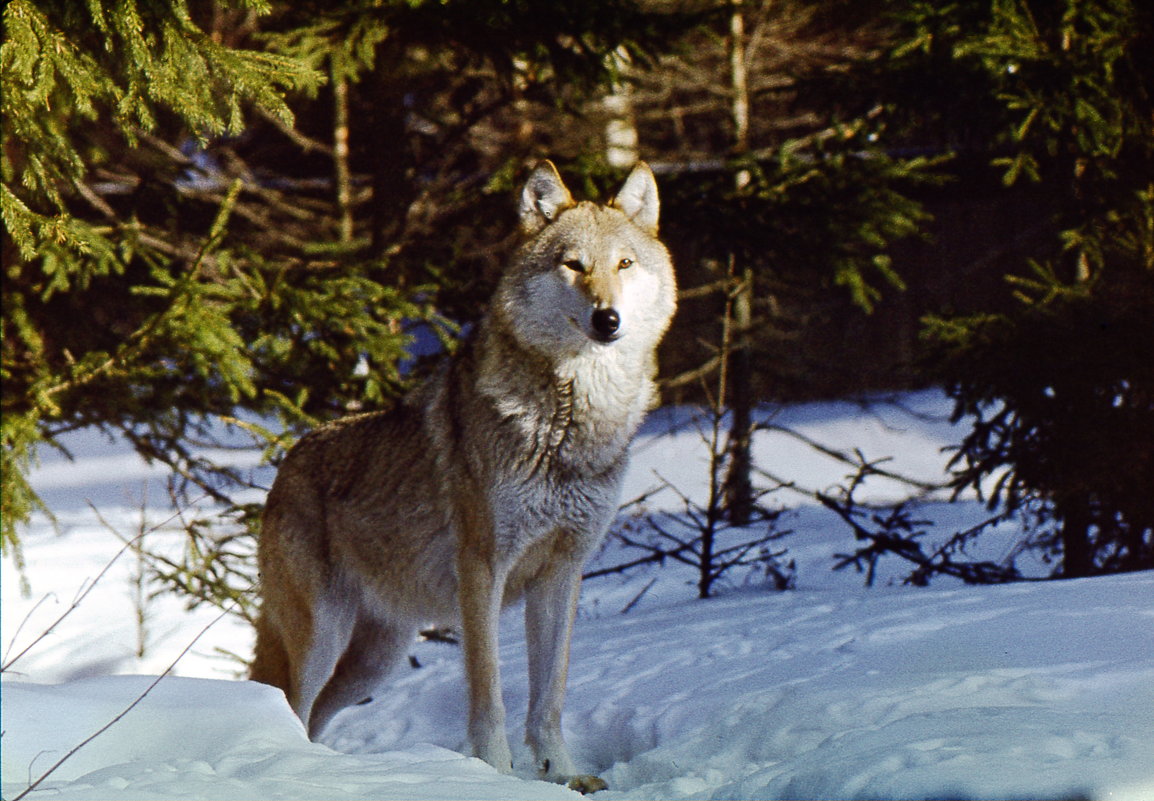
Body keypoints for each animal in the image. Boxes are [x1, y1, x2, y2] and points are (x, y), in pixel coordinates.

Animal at [250, 160, 673, 794]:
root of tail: (286, 465)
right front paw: (495, 774)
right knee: (291, 705)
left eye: (624, 264)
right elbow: (489, 691)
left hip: (376, 659)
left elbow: (549, 698)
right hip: (322, 636)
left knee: (316, 714)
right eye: (573, 264)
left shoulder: (562, 574)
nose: (608, 319)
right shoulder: (483, 571)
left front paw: (564, 775)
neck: (568, 427)